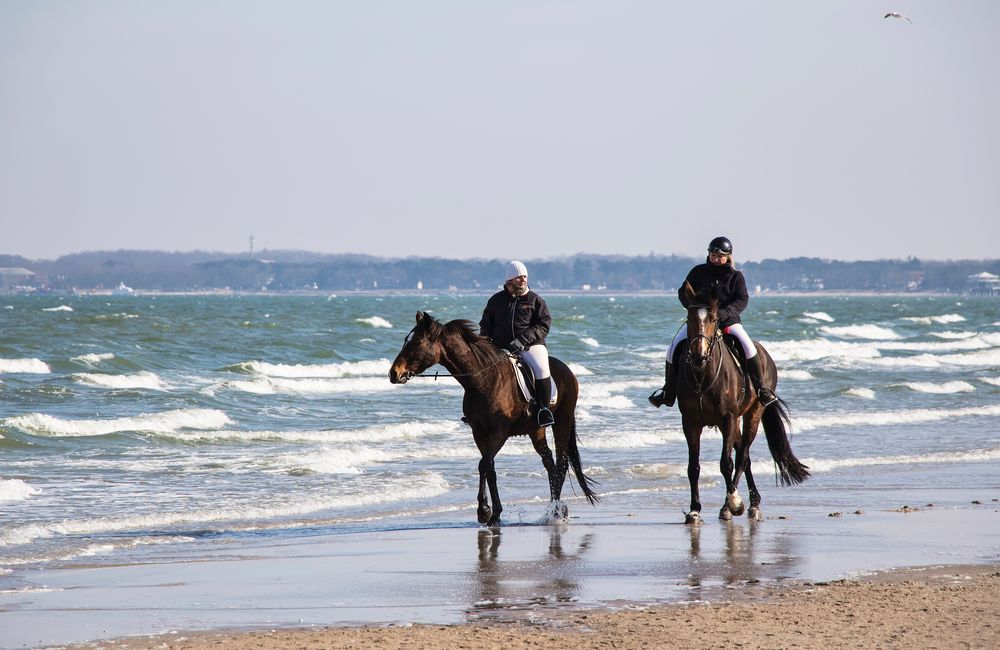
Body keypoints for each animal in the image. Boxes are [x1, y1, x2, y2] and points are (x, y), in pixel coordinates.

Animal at [388, 310, 592, 528]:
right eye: (406, 339)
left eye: (417, 341)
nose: (394, 373)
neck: (482, 380)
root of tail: (568, 371)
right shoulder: (479, 433)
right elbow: (489, 468)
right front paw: (494, 514)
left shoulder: (499, 433)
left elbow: (483, 465)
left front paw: (484, 511)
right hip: (536, 430)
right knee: (549, 462)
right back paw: (555, 508)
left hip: (562, 422)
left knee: (561, 464)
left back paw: (556, 511)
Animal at [676, 280, 808, 524]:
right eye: (689, 317)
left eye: (714, 318)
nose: (698, 356)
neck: (703, 375)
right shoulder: (690, 422)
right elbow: (693, 467)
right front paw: (694, 510)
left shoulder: (727, 418)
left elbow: (726, 463)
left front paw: (735, 504)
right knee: (742, 454)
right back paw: (747, 502)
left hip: (752, 413)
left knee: (743, 456)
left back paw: (742, 505)